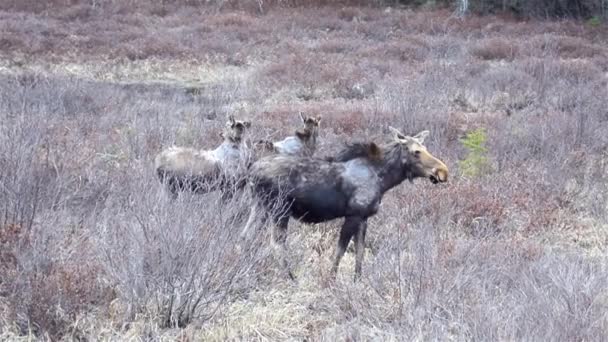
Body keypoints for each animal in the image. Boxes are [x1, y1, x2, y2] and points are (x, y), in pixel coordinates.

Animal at [241, 125, 446, 280]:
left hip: (259, 207)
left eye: (425, 149)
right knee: (276, 243)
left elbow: (360, 251)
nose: (442, 171)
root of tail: (251, 171)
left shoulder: (364, 218)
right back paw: (290, 277)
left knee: (246, 236)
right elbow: (340, 251)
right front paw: (331, 280)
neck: (383, 179)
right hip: (279, 210)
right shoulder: (353, 215)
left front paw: (358, 280)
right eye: (416, 152)